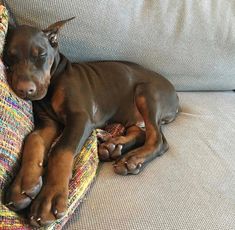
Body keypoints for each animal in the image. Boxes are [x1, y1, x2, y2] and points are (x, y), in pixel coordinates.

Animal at [4, 18, 178, 226]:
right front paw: (24, 184)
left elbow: (61, 150)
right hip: (132, 114)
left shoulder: (80, 117)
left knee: (158, 139)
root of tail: (175, 93)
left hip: (146, 92)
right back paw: (114, 146)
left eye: (42, 55)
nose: (25, 90)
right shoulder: (48, 122)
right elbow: (33, 138)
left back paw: (131, 159)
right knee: (141, 132)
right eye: (8, 58)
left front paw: (49, 198)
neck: (55, 79)